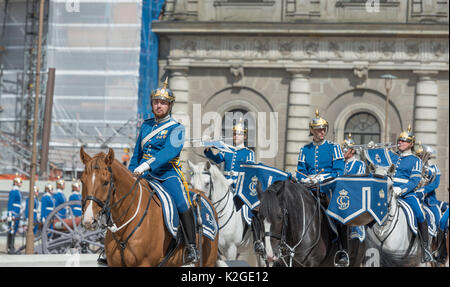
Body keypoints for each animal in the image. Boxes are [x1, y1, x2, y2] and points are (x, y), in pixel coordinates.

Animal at [79, 148, 220, 268]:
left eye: (106, 182)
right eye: (82, 180)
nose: (88, 220)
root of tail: (202, 195)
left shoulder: (145, 264)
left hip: (208, 260)